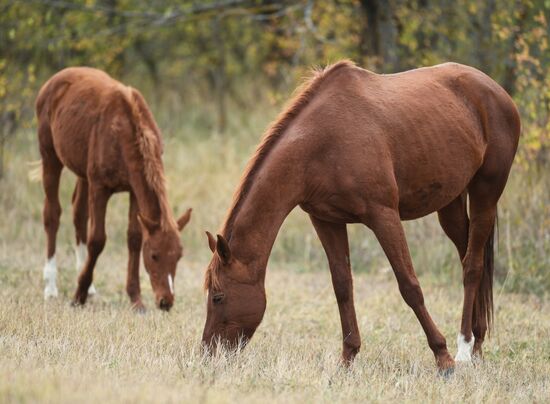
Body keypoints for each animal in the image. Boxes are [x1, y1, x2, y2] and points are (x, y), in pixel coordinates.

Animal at [36, 68, 192, 310]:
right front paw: (78, 296)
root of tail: (53, 81)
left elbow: (134, 238)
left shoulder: (134, 190)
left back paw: (88, 287)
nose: (165, 301)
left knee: (79, 214)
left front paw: (136, 300)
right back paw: (51, 288)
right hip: (50, 156)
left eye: (178, 256)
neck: (123, 132)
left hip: (82, 172)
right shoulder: (100, 188)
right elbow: (97, 240)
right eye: (154, 255)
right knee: (52, 214)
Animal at [203, 60, 520, 372]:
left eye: (218, 296)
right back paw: (477, 342)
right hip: (451, 204)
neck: (322, 143)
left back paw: (464, 349)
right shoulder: (326, 221)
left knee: (473, 266)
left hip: (485, 194)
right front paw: (347, 358)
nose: (208, 353)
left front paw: (442, 357)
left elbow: (409, 286)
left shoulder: (384, 216)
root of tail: (495, 91)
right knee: (469, 256)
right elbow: (342, 286)